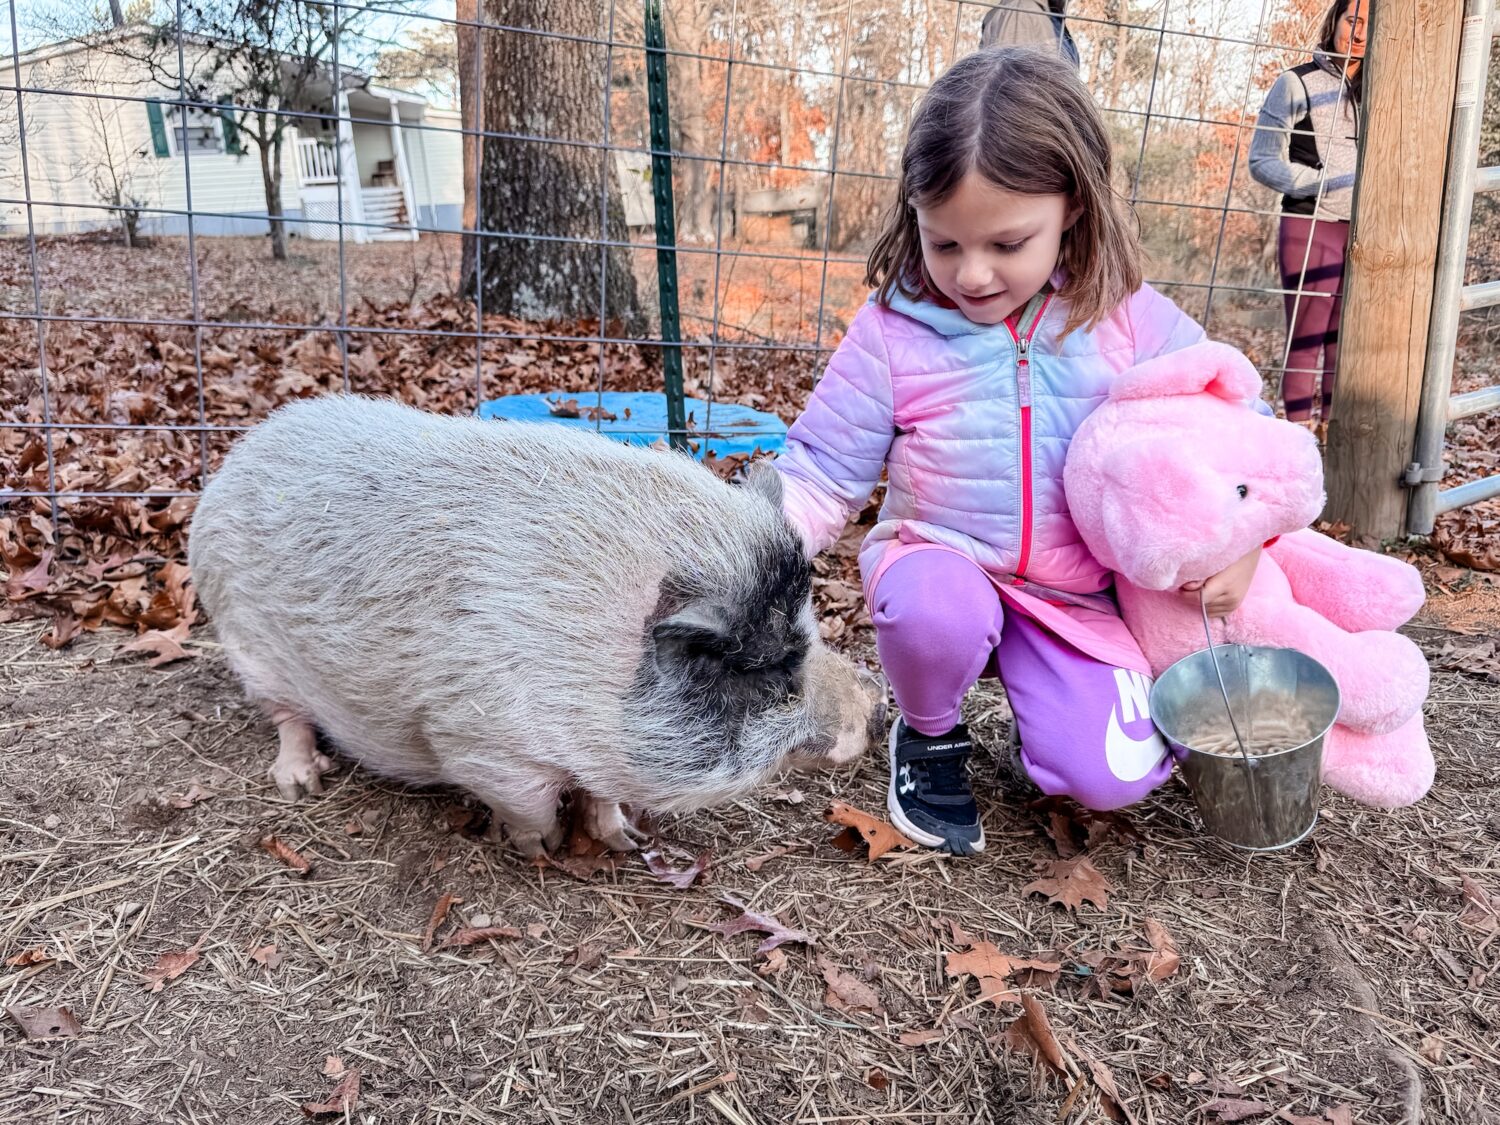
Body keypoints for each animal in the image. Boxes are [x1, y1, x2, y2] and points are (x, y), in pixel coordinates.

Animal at [192, 396, 882, 852]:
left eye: (809, 631)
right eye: (768, 668)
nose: (875, 708)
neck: (593, 670)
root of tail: (238, 454)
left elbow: (600, 796)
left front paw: (624, 841)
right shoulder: (480, 744)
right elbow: (532, 805)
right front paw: (538, 848)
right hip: (247, 643)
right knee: (287, 718)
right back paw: (301, 783)